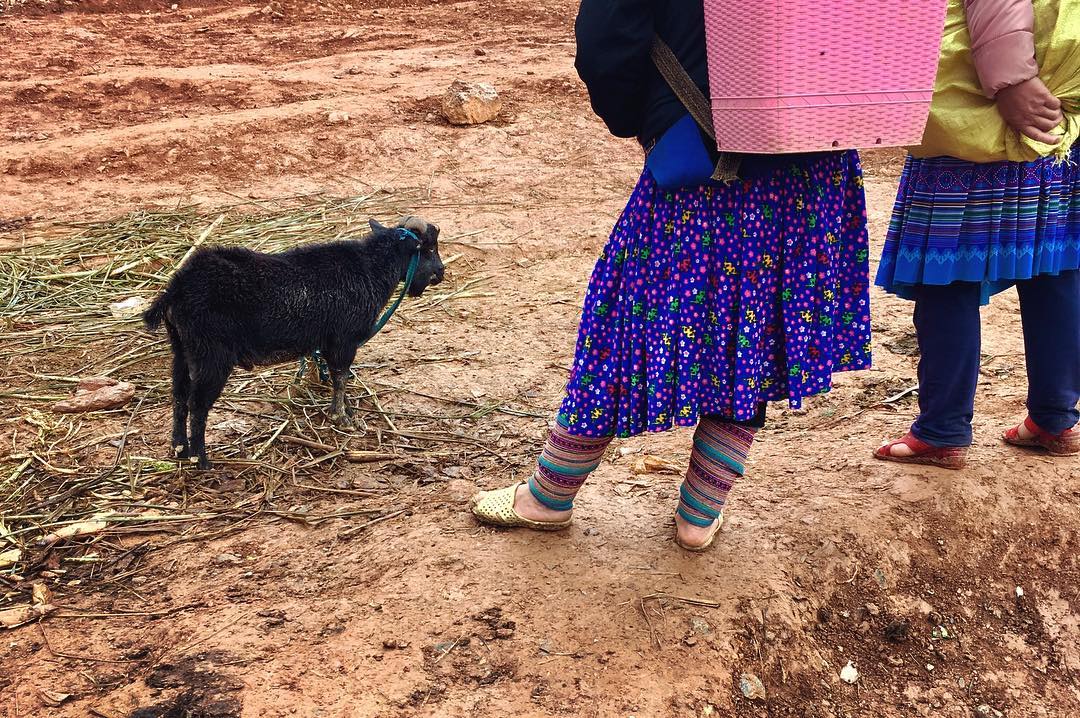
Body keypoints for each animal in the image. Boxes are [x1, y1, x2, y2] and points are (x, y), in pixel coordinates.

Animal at [144, 216, 444, 469]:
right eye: (429, 250)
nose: (441, 273)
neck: (371, 269)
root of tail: (176, 290)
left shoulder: (329, 343)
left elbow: (336, 376)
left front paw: (343, 412)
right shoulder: (344, 341)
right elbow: (341, 378)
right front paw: (342, 418)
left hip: (182, 350)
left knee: (179, 396)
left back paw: (179, 449)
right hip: (211, 356)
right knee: (197, 404)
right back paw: (201, 459)